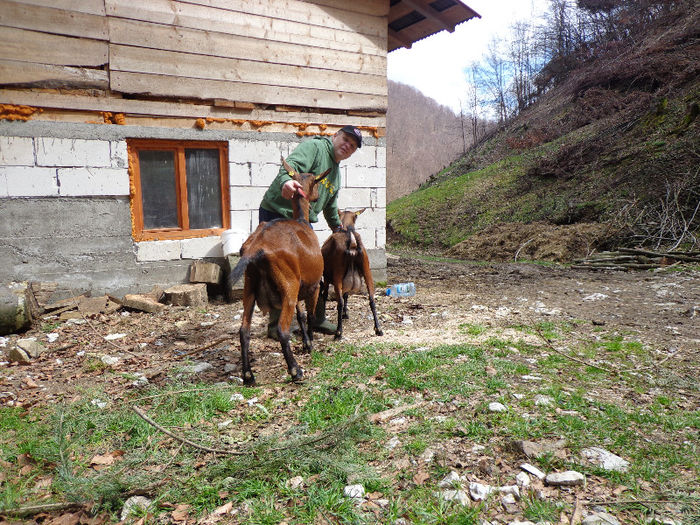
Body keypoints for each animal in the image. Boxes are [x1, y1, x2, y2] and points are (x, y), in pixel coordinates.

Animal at [228, 158, 330, 382]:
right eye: (315, 181)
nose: (318, 196)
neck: (302, 221)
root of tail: (257, 246)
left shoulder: (299, 285)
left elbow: (301, 316)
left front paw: (306, 342)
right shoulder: (313, 285)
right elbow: (310, 316)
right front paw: (310, 343)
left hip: (251, 287)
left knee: (244, 330)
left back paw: (248, 375)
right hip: (288, 287)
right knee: (283, 330)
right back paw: (295, 370)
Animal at [322, 209, 382, 340]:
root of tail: (353, 244)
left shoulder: (327, 277)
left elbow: (325, 295)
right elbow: (346, 294)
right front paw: (346, 314)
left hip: (338, 275)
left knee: (339, 301)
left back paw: (338, 332)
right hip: (367, 271)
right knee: (371, 299)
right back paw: (378, 329)